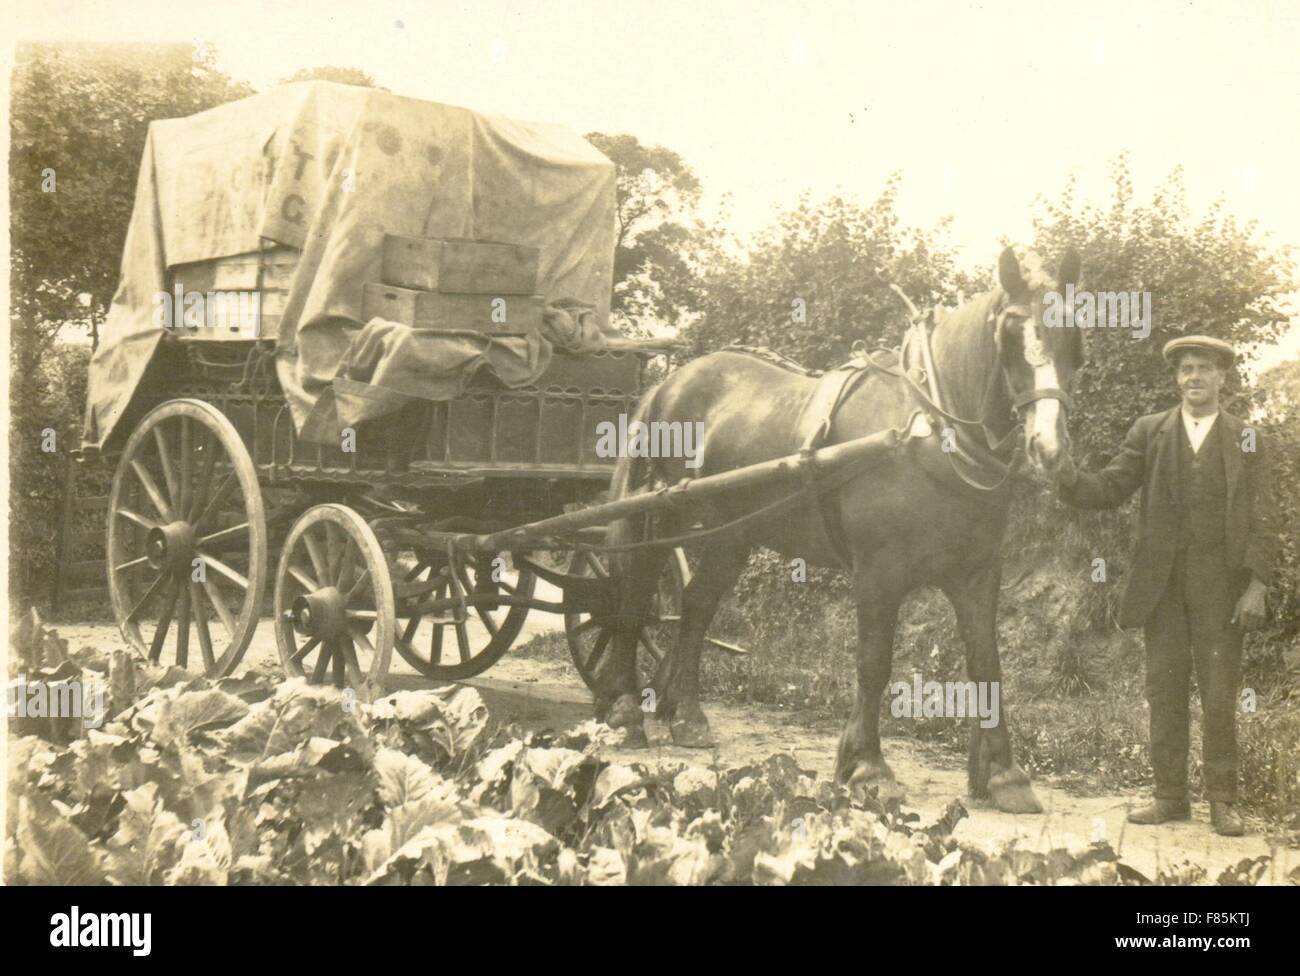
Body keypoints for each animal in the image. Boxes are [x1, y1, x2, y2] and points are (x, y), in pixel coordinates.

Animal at [595, 245, 1081, 816]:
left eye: (1075, 338)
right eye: (1010, 336)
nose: (1048, 447)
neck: (927, 430)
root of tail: (672, 380)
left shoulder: (978, 575)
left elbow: (988, 665)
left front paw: (1004, 775)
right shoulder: (878, 573)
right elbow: (874, 663)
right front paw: (867, 766)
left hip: (730, 534)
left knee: (696, 607)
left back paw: (688, 716)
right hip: (663, 516)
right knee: (633, 596)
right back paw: (627, 710)